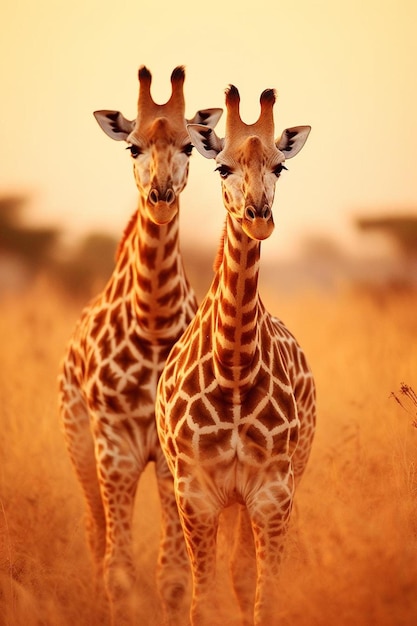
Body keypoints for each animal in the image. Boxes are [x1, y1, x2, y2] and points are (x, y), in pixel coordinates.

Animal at [57, 66, 223, 620]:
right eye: (132, 146)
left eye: (190, 146)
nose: (161, 196)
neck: (152, 320)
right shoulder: (115, 446)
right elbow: (119, 573)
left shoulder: (175, 455)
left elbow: (171, 578)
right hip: (78, 440)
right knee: (94, 530)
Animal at [156, 84, 316, 624]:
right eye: (222, 168)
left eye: (280, 167)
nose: (258, 218)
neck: (235, 368)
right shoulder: (196, 495)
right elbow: (200, 604)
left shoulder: (273, 493)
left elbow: (261, 596)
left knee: (242, 572)